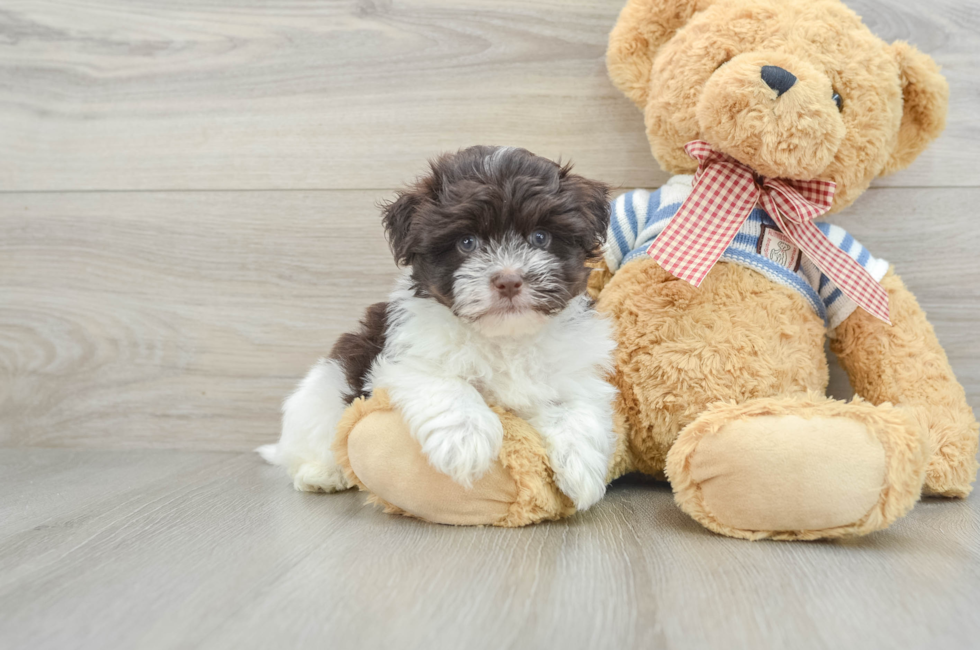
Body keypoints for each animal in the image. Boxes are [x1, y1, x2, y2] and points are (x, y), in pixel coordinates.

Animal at [256, 144, 616, 508]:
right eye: (467, 243)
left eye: (541, 238)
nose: (509, 280)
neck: (504, 337)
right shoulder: (402, 359)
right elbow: (447, 384)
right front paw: (467, 439)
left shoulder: (574, 372)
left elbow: (572, 407)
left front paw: (582, 467)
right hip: (321, 397)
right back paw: (321, 474)